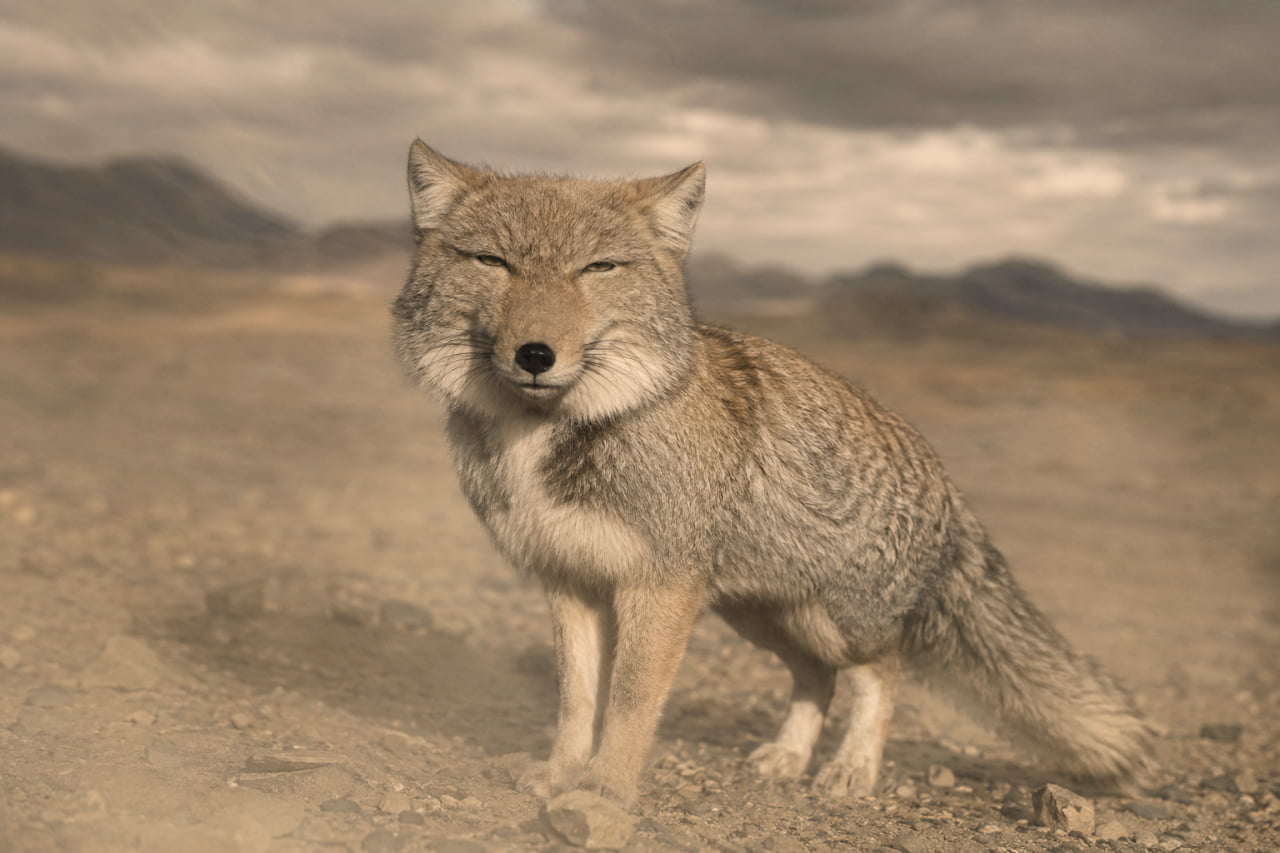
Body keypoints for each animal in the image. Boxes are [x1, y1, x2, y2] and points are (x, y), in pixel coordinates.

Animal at [391, 141, 1153, 807]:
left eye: (598, 268)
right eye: (493, 261)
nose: (535, 354)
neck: (548, 434)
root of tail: (948, 483)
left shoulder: (658, 587)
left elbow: (632, 702)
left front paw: (604, 791)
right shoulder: (570, 580)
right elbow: (578, 700)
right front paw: (560, 774)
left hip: (840, 621)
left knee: (883, 672)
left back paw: (852, 769)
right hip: (760, 616)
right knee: (818, 678)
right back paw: (789, 756)